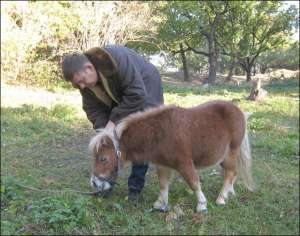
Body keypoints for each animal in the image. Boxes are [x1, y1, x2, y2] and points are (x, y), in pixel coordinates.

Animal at [88, 100, 254, 213]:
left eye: (103, 159)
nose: (94, 184)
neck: (159, 133)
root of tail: (240, 112)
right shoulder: (162, 165)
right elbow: (163, 185)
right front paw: (160, 204)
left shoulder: (184, 164)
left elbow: (194, 183)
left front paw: (202, 205)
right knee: (232, 173)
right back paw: (229, 193)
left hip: (231, 152)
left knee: (231, 172)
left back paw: (221, 198)